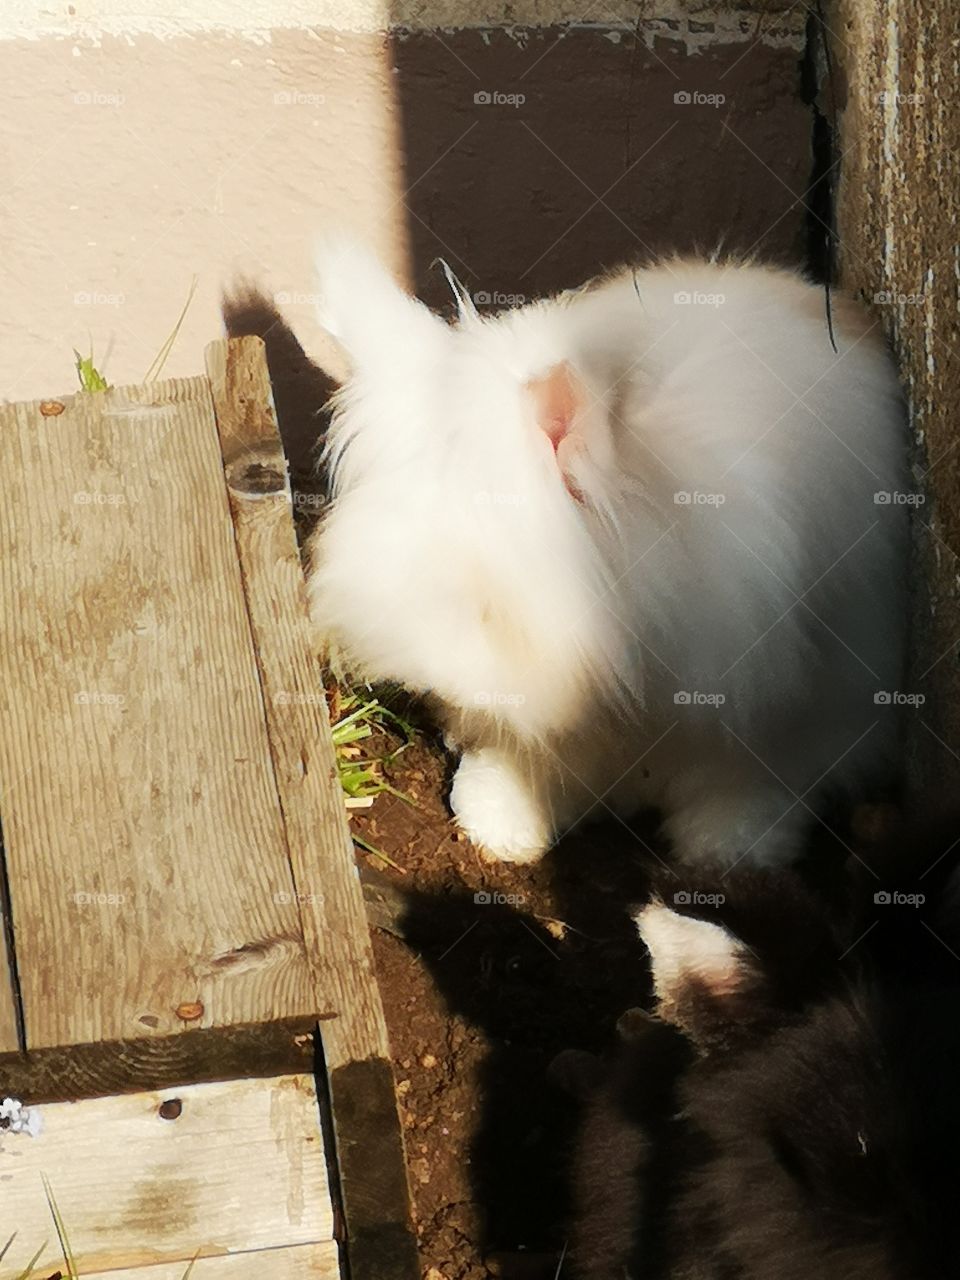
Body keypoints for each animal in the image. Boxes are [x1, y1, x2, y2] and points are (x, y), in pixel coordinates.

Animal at [304, 240, 910, 866]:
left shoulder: (797, 693)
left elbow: (753, 773)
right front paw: (499, 823)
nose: (434, 680)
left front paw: (729, 849)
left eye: (485, 604)